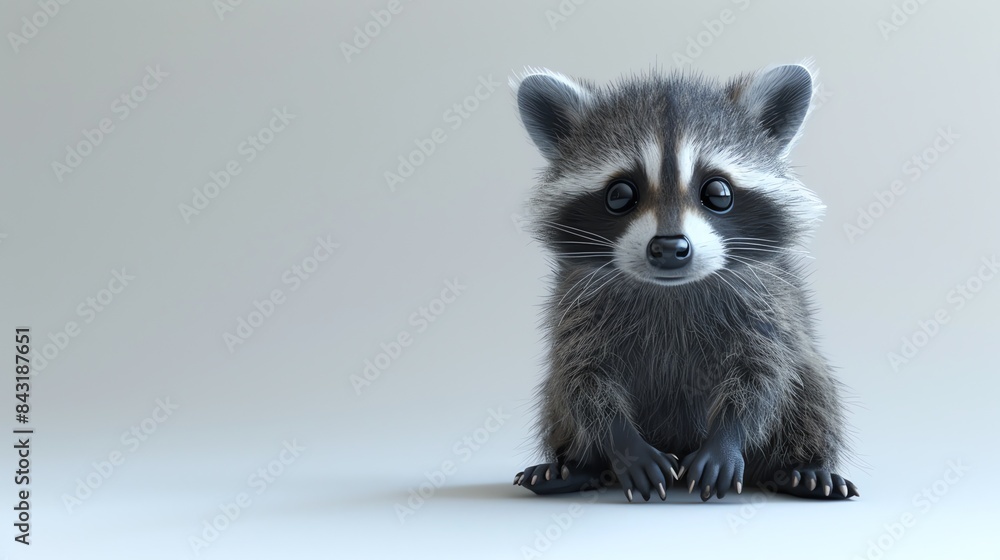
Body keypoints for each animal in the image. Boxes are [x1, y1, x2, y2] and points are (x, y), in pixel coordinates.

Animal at [511, 64, 858, 501]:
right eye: (619, 194)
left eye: (718, 191)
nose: (669, 247)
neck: (669, 288)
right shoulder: (576, 301)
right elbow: (583, 379)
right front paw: (624, 446)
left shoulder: (767, 298)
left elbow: (763, 375)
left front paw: (727, 440)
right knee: (557, 394)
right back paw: (575, 466)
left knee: (812, 384)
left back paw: (803, 467)